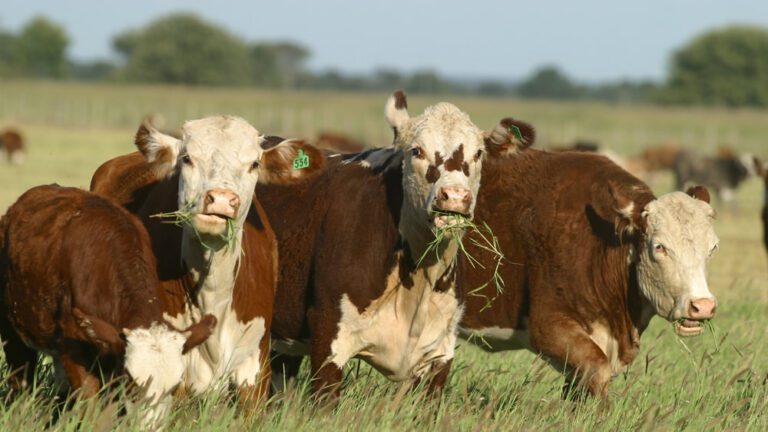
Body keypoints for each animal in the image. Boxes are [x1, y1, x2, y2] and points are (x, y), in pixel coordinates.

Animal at [0, 185, 215, 425]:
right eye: (132, 381)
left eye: (175, 385)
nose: (147, 426)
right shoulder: (74, 348)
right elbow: (90, 406)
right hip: (12, 333)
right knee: (21, 385)